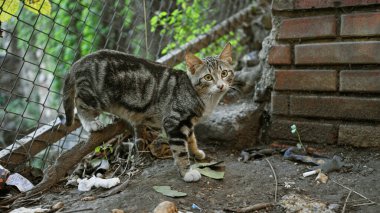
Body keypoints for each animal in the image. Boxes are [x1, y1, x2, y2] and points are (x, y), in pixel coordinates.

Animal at [63, 42, 235, 181]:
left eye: (224, 73)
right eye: (208, 77)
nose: (221, 86)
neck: (204, 99)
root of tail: (79, 62)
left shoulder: (187, 122)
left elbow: (191, 138)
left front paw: (196, 152)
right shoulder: (174, 121)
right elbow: (180, 150)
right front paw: (187, 172)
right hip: (96, 97)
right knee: (79, 103)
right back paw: (90, 123)